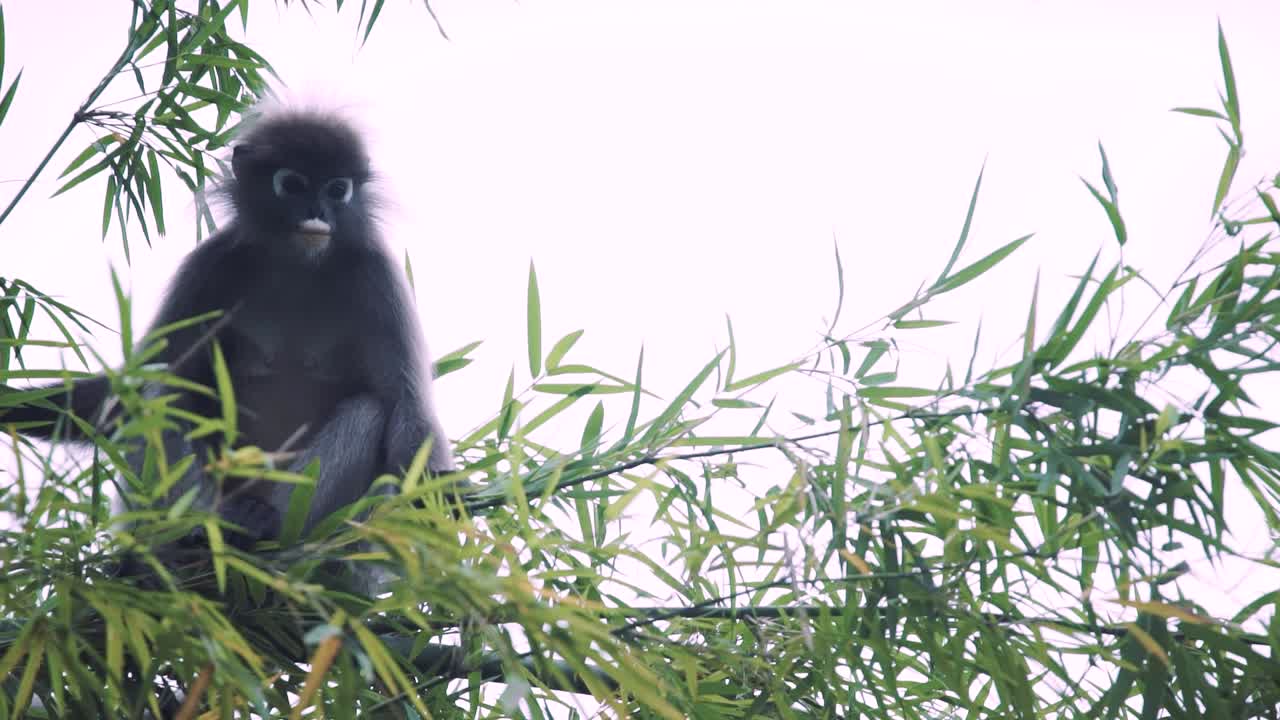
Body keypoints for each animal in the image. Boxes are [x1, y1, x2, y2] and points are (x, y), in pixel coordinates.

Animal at [1, 108, 456, 575]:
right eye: (293, 184)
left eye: (337, 188)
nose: (317, 212)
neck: (297, 264)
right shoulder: (209, 266)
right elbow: (131, 390)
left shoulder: (376, 275)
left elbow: (408, 409)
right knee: (164, 394)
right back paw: (191, 536)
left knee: (368, 411)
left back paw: (265, 529)